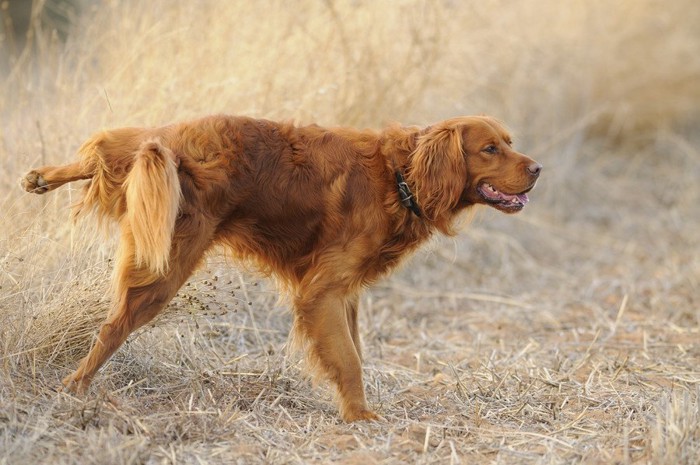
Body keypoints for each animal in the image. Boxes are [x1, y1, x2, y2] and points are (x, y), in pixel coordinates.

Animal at [20, 113, 540, 420]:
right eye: (490, 149)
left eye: (510, 142)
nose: (537, 169)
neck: (400, 176)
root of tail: (173, 146)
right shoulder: (322, 292)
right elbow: (349, 360)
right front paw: (360, 418)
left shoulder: (345, 295)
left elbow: (353, 351)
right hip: (165, 269)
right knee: (111, 329)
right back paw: (74, 387)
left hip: (153, 173)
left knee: (112, 148)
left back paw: (43, 176)